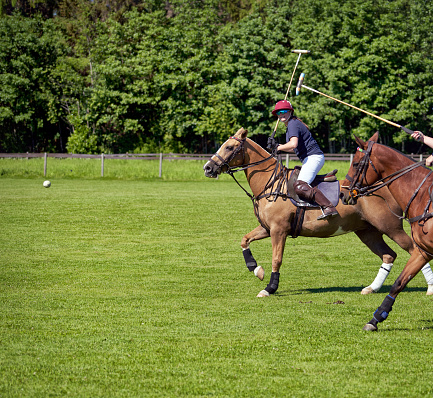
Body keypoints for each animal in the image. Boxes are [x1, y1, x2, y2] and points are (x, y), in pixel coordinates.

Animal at [203, 127, 432, 302]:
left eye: (229, 147)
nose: (207, 168)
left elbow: (277, 259)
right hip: (368, 231)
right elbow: (244, 240)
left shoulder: (279, 230)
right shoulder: (267, 228)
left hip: (390, 226)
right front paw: (256, 269)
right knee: (388, 255)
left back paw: (429, 288)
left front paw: (269, 288)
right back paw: (371, 288)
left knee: (414, 250)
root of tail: (384, 187)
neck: (271, 184)